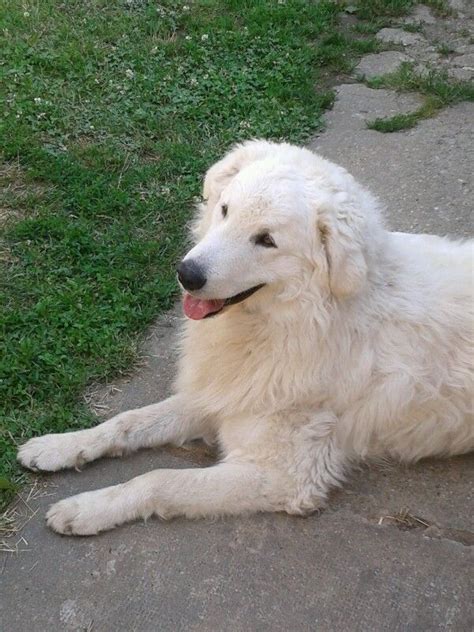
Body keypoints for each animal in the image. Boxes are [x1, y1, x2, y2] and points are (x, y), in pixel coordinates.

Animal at [18, 142, 474, 532]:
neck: (292, 323)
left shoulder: (284, 476)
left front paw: (86, 508)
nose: (186, 274)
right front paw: (58, 446)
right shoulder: (222, 393)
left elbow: (159, 479)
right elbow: (125, 421)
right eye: (224, 210)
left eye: (267, 240)